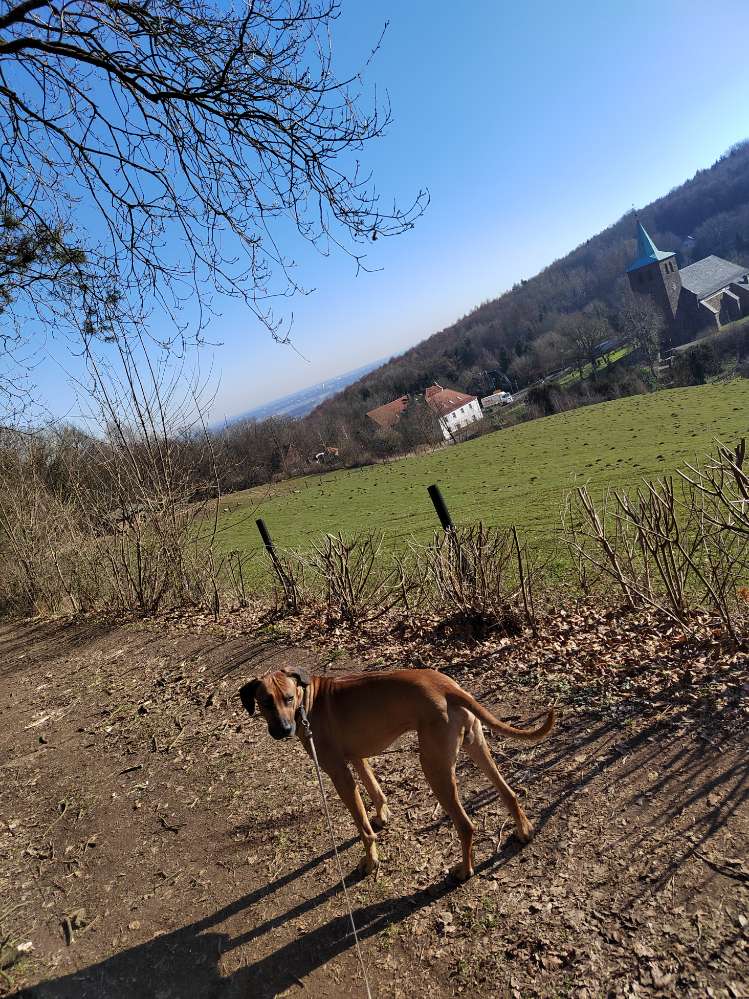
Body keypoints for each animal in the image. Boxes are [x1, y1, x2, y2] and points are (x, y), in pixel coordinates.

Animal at [237, 668, 552, 880]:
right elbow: (375, 789)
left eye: (289, 698)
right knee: (508, 793)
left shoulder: (339, 774)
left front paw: (370, 861)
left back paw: (464, 870)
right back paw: (524, 830)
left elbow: (362, 826)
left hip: (434, 768)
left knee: (466, 825)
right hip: (476, 746)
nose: (283, 730)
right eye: (266, 702)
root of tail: (449, 686)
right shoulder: (358, 758)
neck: (309, 702)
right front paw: (382, 816)